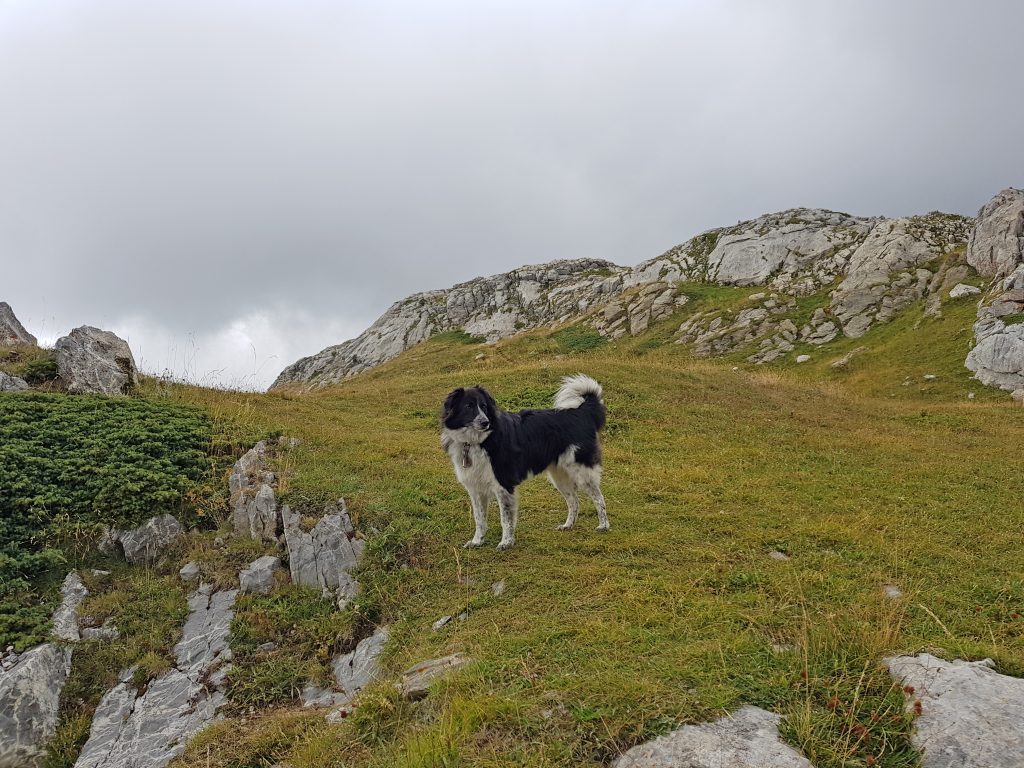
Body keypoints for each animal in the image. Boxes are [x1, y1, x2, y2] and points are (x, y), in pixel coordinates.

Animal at [440, 374, 606, 548]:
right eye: (468, 406)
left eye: (484, 406)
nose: (485, 422)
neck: (477, 441)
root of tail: (582, 412)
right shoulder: (475, 488)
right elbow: (479, 519)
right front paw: (477, 541)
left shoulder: (503, 485)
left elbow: (505, 519)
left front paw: (506, 542)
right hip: (559, 476)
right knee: (574, 501)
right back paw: (568, 525)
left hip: (582, 471)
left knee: (599, 498)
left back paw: (603, 525)